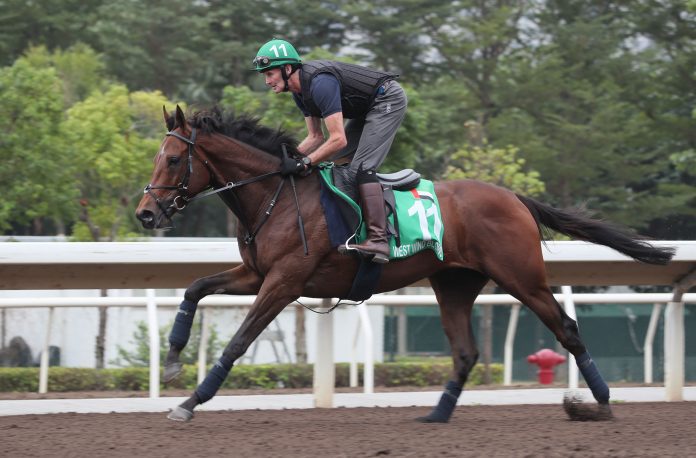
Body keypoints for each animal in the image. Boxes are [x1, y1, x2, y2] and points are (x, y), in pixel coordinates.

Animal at [136, 104, 676, 422]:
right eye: (158, 158)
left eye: (172, 160)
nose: (145, 213)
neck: (276, 196)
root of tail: (514, 197)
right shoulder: (256, 275)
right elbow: (195, 288)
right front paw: (173, 357)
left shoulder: (284, 282)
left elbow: (239, 341)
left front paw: (189, 403)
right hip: (455, 283)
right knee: (466, 352)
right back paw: (436, 415)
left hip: (522, 278)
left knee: (567, 328)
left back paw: (599, 404)